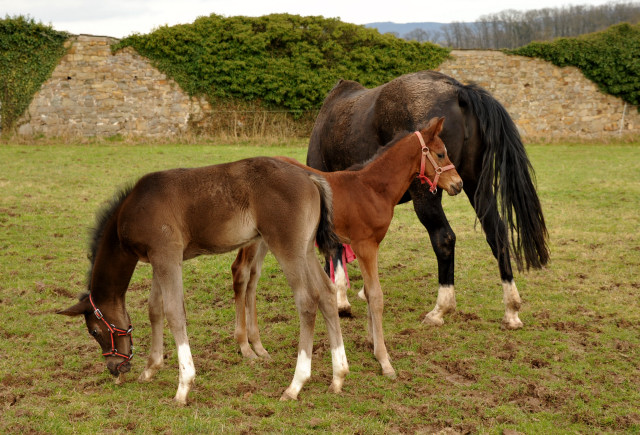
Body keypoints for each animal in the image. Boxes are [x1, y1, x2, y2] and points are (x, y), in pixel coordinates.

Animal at [58, 158, 350, 406]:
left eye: (94, 332)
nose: (114, 368)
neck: (131, 210)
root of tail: (310, 177)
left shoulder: (166, 254)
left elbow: (174, 312)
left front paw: (183, 386)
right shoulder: (159, 259)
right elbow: (155, 310)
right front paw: (150, 368)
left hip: (286, 246)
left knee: (307, 300)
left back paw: (295, 385)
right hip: (305, 249)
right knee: (326, 293)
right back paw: (338, 377)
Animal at [232, 117, 462, 380]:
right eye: (441, 154)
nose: (458, 184)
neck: (372, 188)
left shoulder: (371, 245)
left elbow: (369, 292)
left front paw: (372, 342)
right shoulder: (365, 245)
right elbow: (376, 295)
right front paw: (384, 360)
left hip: (266, 237)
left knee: (252, 278)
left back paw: (258, 346)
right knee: (241, 273)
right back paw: (245, 346)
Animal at [308, 70, 548, 330]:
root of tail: (457, 89)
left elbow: (336, 247)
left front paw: (340, 298)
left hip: (428, 194)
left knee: (444, 238)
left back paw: (440, 309)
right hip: (475, 185)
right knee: (497, 234)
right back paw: (511, 309)